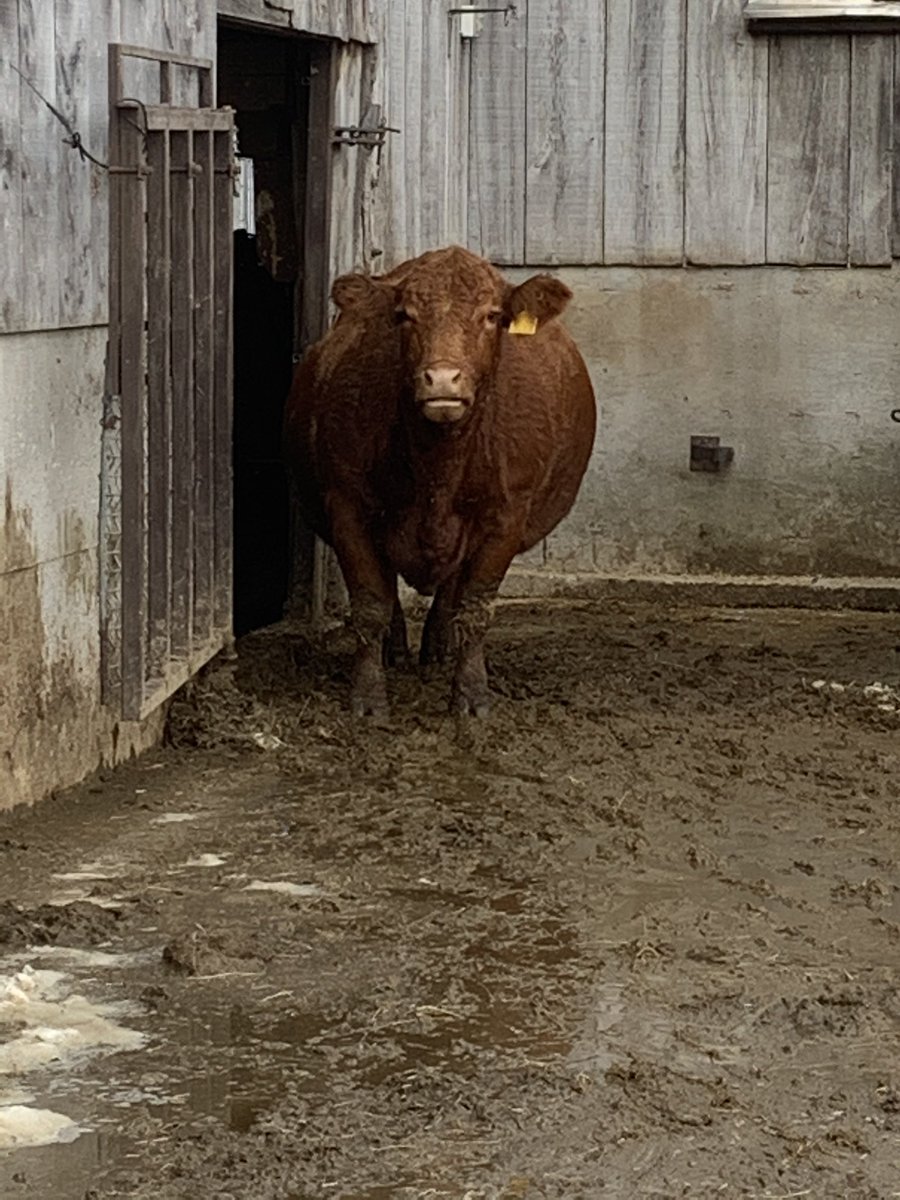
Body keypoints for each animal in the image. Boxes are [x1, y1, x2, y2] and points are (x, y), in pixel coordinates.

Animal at [283, 245, 596, 717]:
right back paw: (397, 649)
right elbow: (371, 604)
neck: (438, 471)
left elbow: (475, 606)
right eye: (404, 315)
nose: (443, 379)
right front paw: (368, 696)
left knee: (451, 592)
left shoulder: (507, 516)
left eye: (491, 315)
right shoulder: (347, 506)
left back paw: (438, 648)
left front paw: (470, 695)